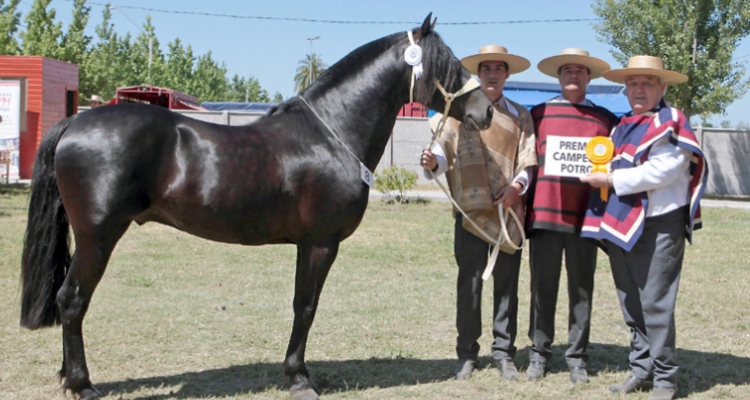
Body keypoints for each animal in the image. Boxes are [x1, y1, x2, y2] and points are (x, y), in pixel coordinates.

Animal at [19, 14, 494, 398]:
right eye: (448, 63)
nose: (486, 111)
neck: (330, 133)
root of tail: (76, 121)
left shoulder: (309, 243)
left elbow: (302, 304)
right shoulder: (320, 243)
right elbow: (305, 305)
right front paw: (299, 378)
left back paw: (68, 376)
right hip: (97, 237)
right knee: (72, 300)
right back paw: (83, 385)